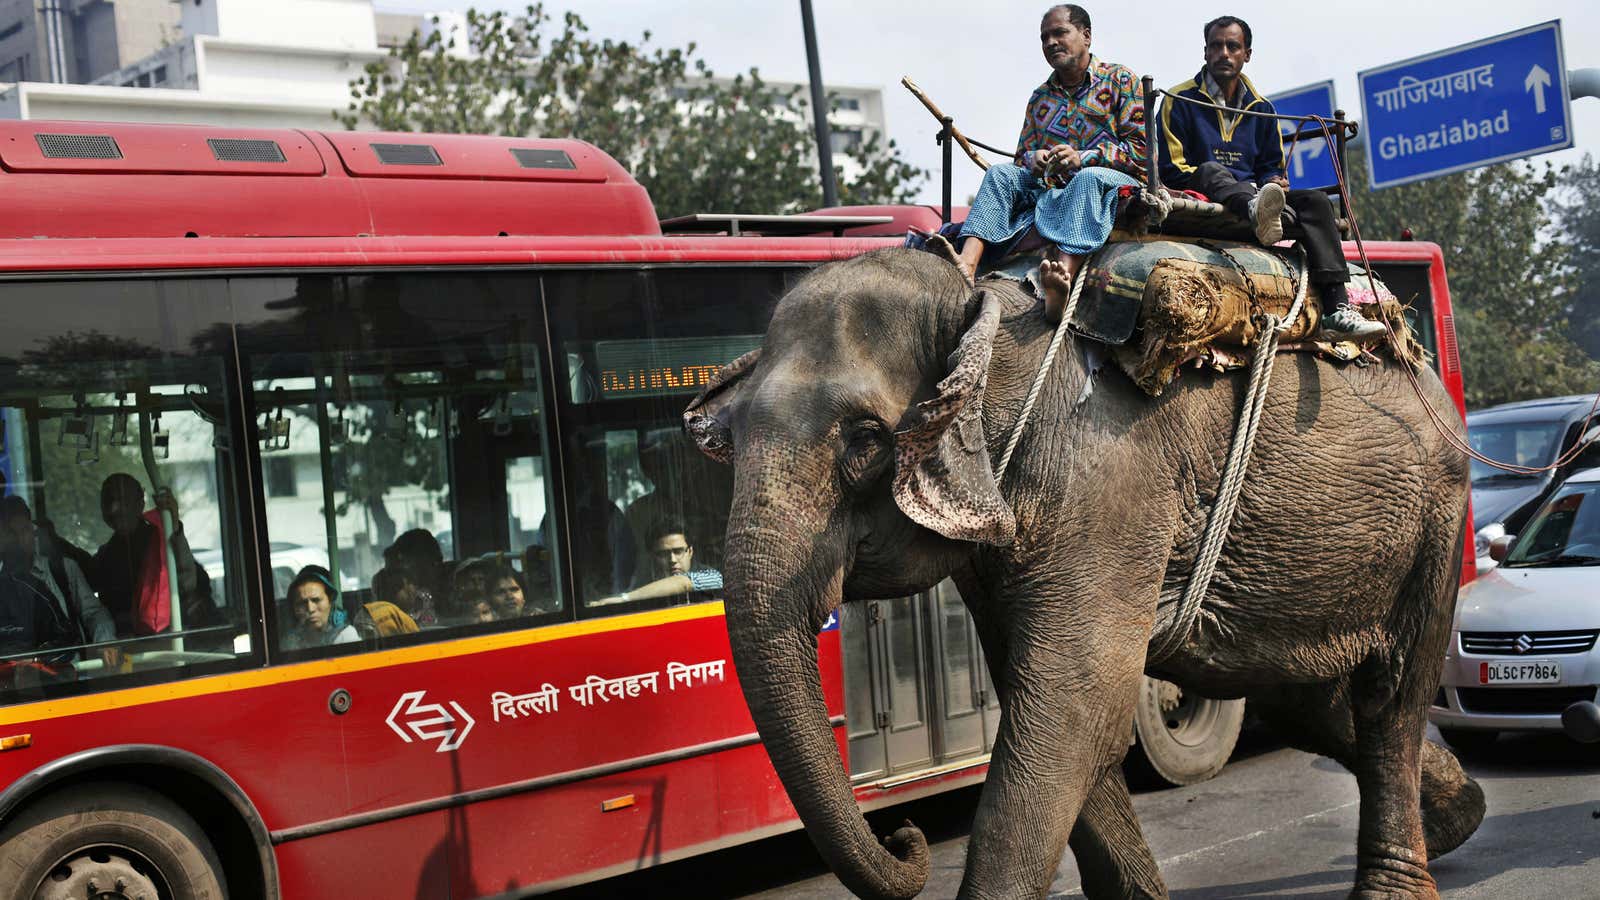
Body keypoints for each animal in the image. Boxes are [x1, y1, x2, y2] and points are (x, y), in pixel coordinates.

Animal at [688, 246, 1484, 896]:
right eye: (727, 439)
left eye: (864, 441)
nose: (904, 836)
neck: (982, 310)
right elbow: (1051, 699)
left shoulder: (1108, 473)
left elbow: (1073, 703)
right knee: (1303, 698)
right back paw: (1460, 818)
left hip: (1436, 518)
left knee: (1389, 693)